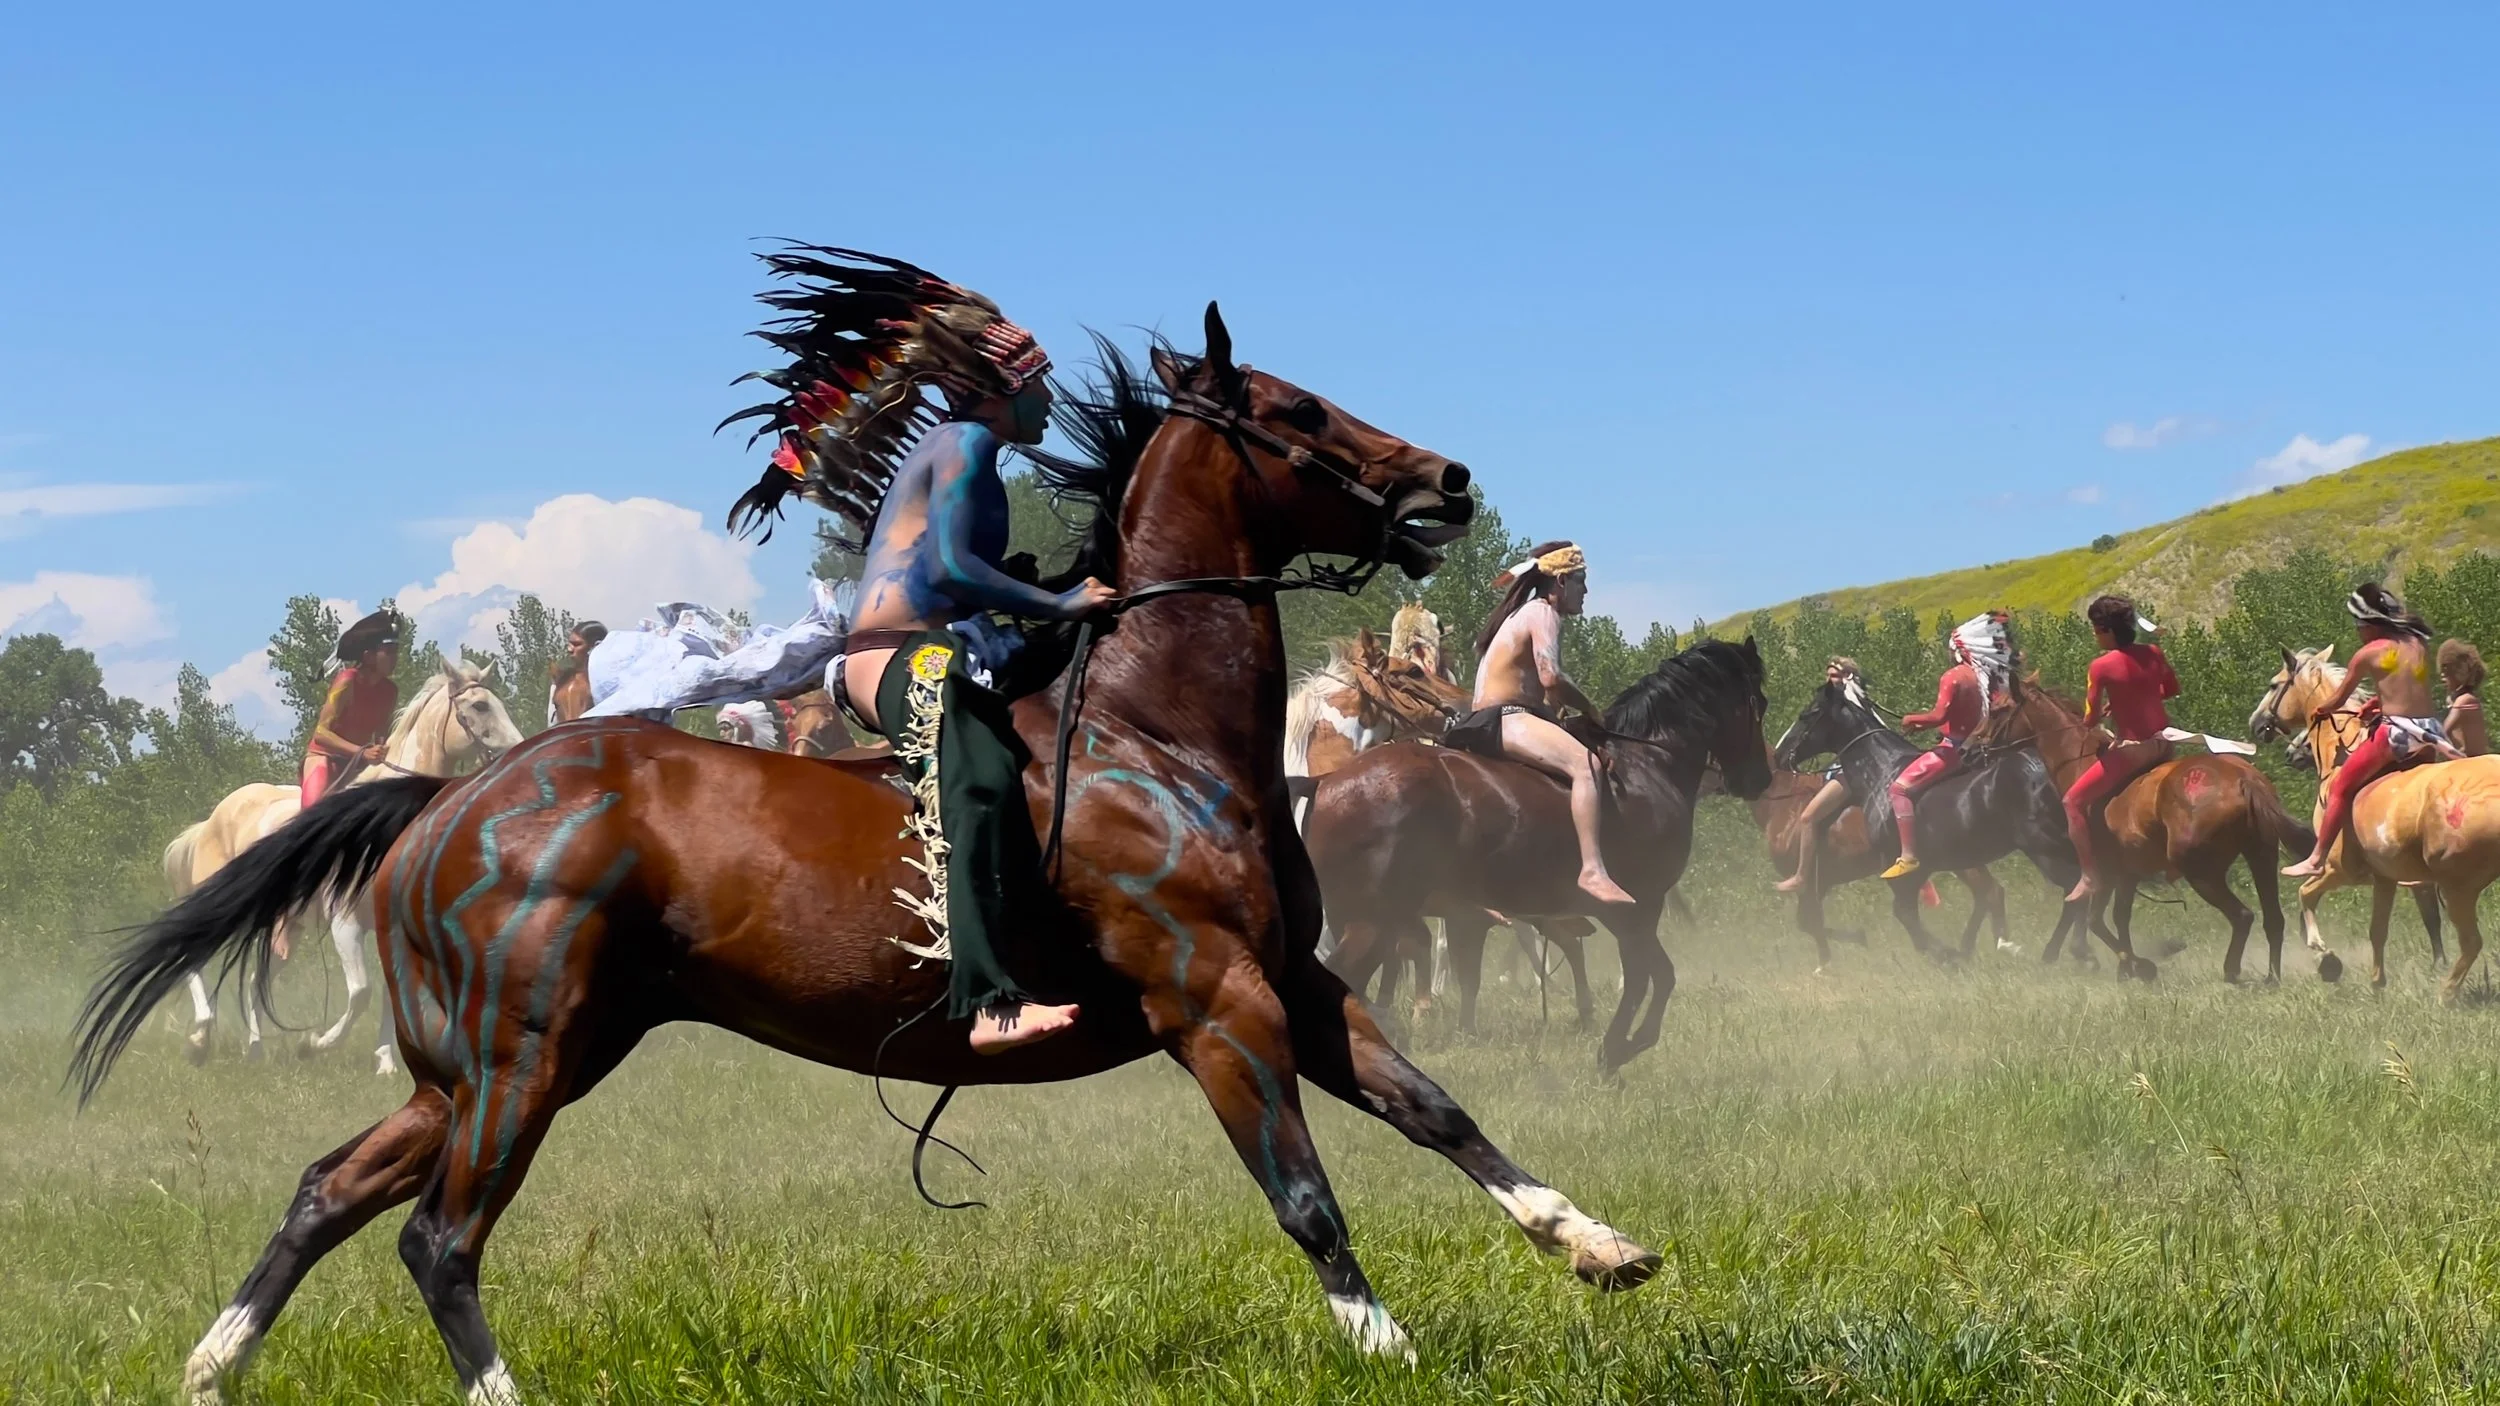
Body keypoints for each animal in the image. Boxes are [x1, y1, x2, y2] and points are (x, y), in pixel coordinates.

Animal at [166, 660, 524, 1074]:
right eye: (480, 705)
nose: (520, 750)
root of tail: (211, 821)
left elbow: (389, 993)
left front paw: (385, 1062)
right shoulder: (345, 923)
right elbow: (361, 992)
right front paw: (313, 1044)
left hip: (285, 930)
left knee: (255, 980)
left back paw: (253, 1051)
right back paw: (199, 1039)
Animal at [1305, 638, 1774, 1071]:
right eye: (1760, 703)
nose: (1761, 779)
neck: (1646, 764)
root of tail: (1327, 784)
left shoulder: (1620, 916)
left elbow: (1651, 976)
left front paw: (1615, 1047)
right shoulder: (1639, 908)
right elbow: (1652, 978)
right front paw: (1618, 1049)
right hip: (1373, 922)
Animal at [1747, 767, 2018, 973]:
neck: (1786, 803)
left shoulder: (1810, 883)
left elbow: (1809, 921)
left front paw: (1829, 961)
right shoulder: (1819, 883)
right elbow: (1808, 922)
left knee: (1987, 893)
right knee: (1988, 892)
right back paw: (1978, 947)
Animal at [2251, 646, 2500, 996]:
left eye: (2274, 685)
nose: (2257, 723)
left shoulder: (2340, 870)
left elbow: (2306, 894)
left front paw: (2325, 957)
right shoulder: (2385, 878)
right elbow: (2377, 930)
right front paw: (2376, 981)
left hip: (2456, 885)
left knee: (2470, 942)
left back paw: (2446, 993)